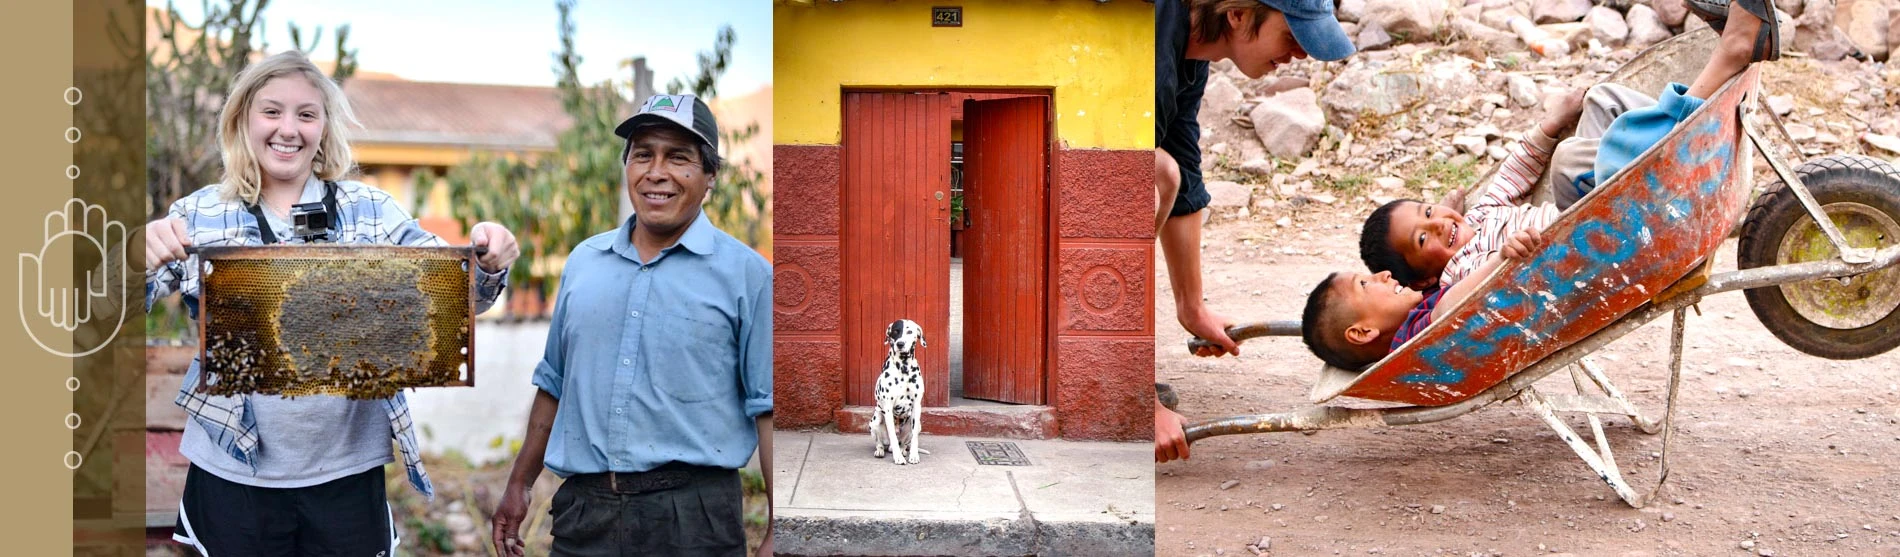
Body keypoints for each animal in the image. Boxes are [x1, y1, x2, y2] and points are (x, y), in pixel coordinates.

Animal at [874, 317, 927, 463]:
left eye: (909, 332)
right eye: (895, 332)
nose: (900, 344)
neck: (903, 367)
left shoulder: (917, 406)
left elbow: (914, 438)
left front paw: (913, 455)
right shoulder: (887, 408)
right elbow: (892, 434)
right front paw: (897, 458)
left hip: (917, 424)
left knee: (903, 443)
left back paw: (903, 450)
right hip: (875, 420)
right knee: (882, 442)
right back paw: (881, 450)